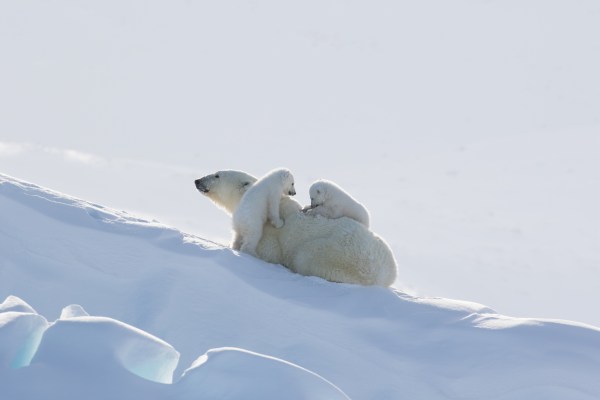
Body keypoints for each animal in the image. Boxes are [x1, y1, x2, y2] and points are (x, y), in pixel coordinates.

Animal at [195, 170, 396, 286]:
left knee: (306, 257)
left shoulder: (269, 235)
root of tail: (387, 275)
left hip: (334, 256)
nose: (197, 180)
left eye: (217, 175)